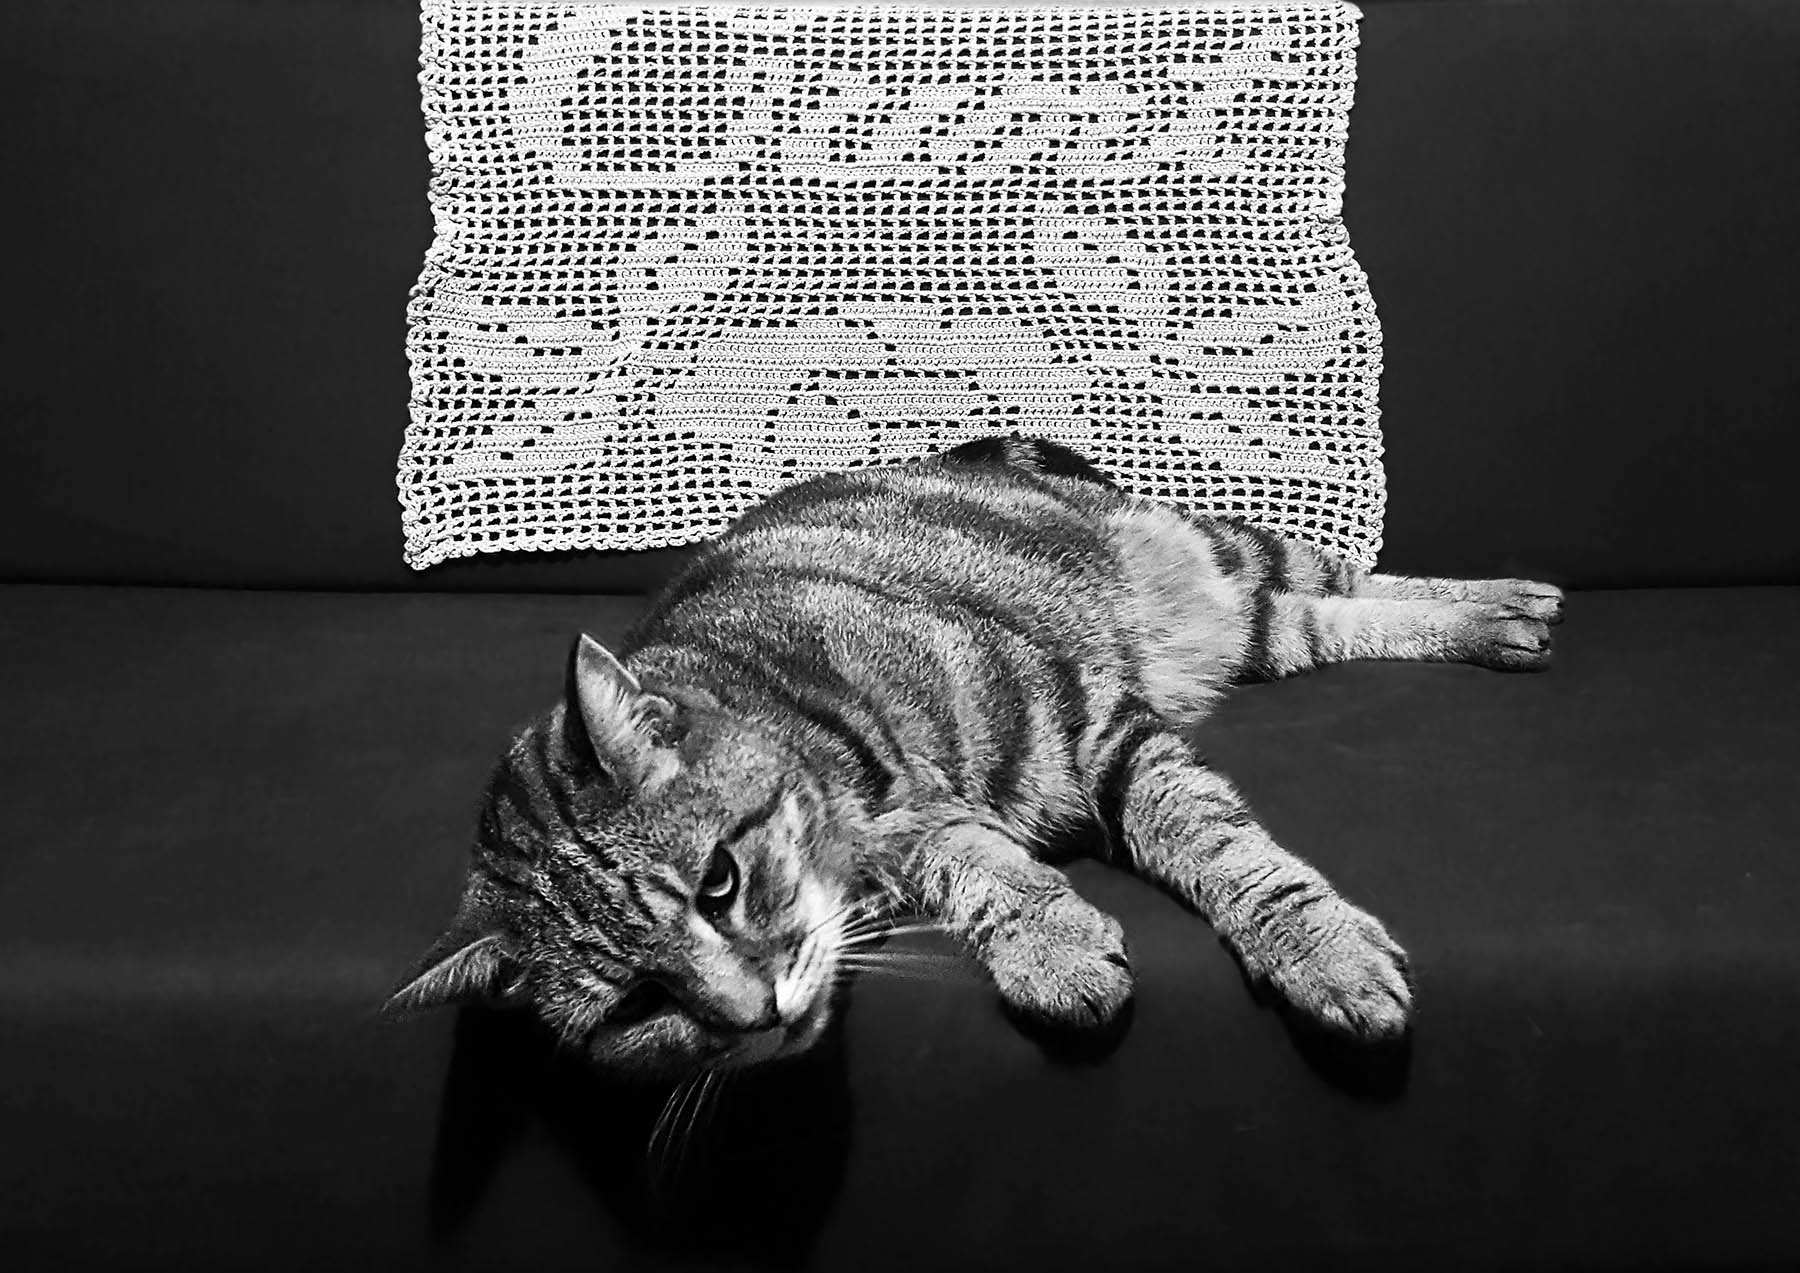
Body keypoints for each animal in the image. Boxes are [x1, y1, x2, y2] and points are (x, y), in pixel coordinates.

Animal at [394, 437, 1562, 1073]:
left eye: (718, 883)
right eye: (637, 1008)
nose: (750, 1018)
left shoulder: (1093, 724)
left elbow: (1218, 846)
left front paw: (1318, 950)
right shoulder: (934, 833)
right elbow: (985, 869)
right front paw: (1051, 941)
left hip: (1216, 559)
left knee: (1346, 575)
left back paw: (1505, 605)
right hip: (1255, 620)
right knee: (1326, 615)